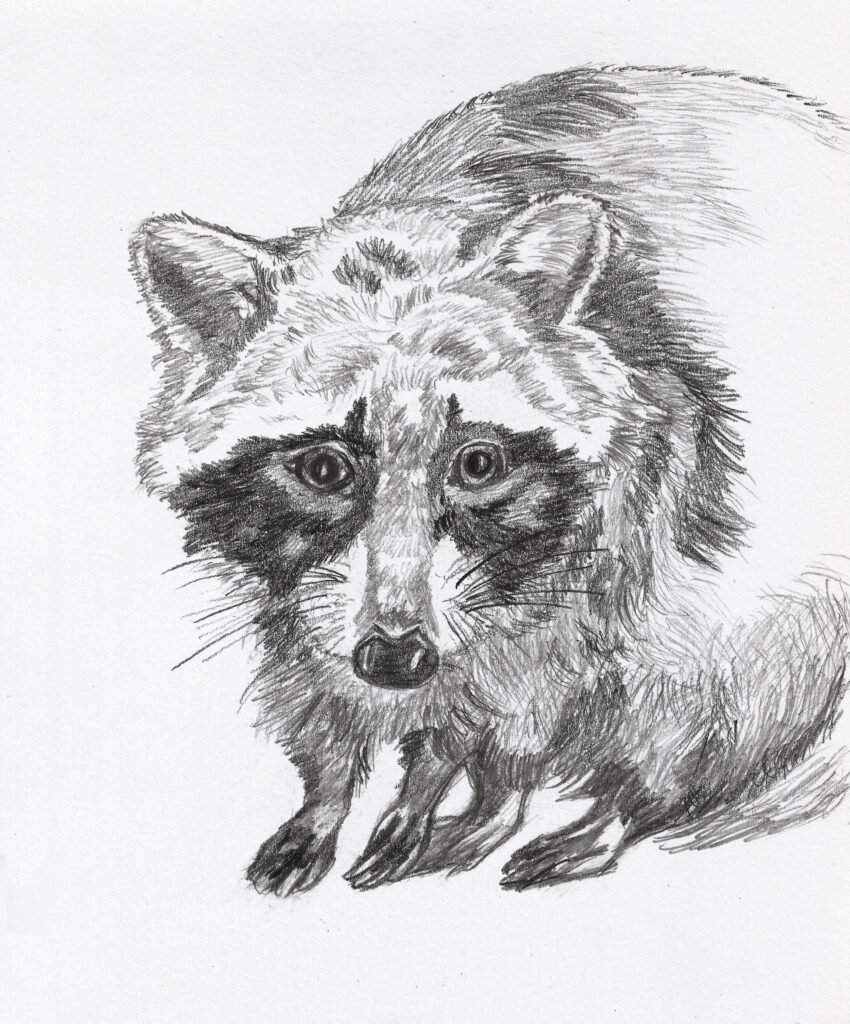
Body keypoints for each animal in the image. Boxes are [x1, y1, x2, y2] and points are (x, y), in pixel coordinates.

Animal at [130, 66, 849, 895]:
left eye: (479, 464)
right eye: (323, 469)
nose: (396, 657)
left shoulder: (622, 494)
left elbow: (512, 685)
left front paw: (428, 782)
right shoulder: (300, 581)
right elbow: (319, 679)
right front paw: (329, 795)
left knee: (690, 683)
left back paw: (615, 805)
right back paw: (498, 802)